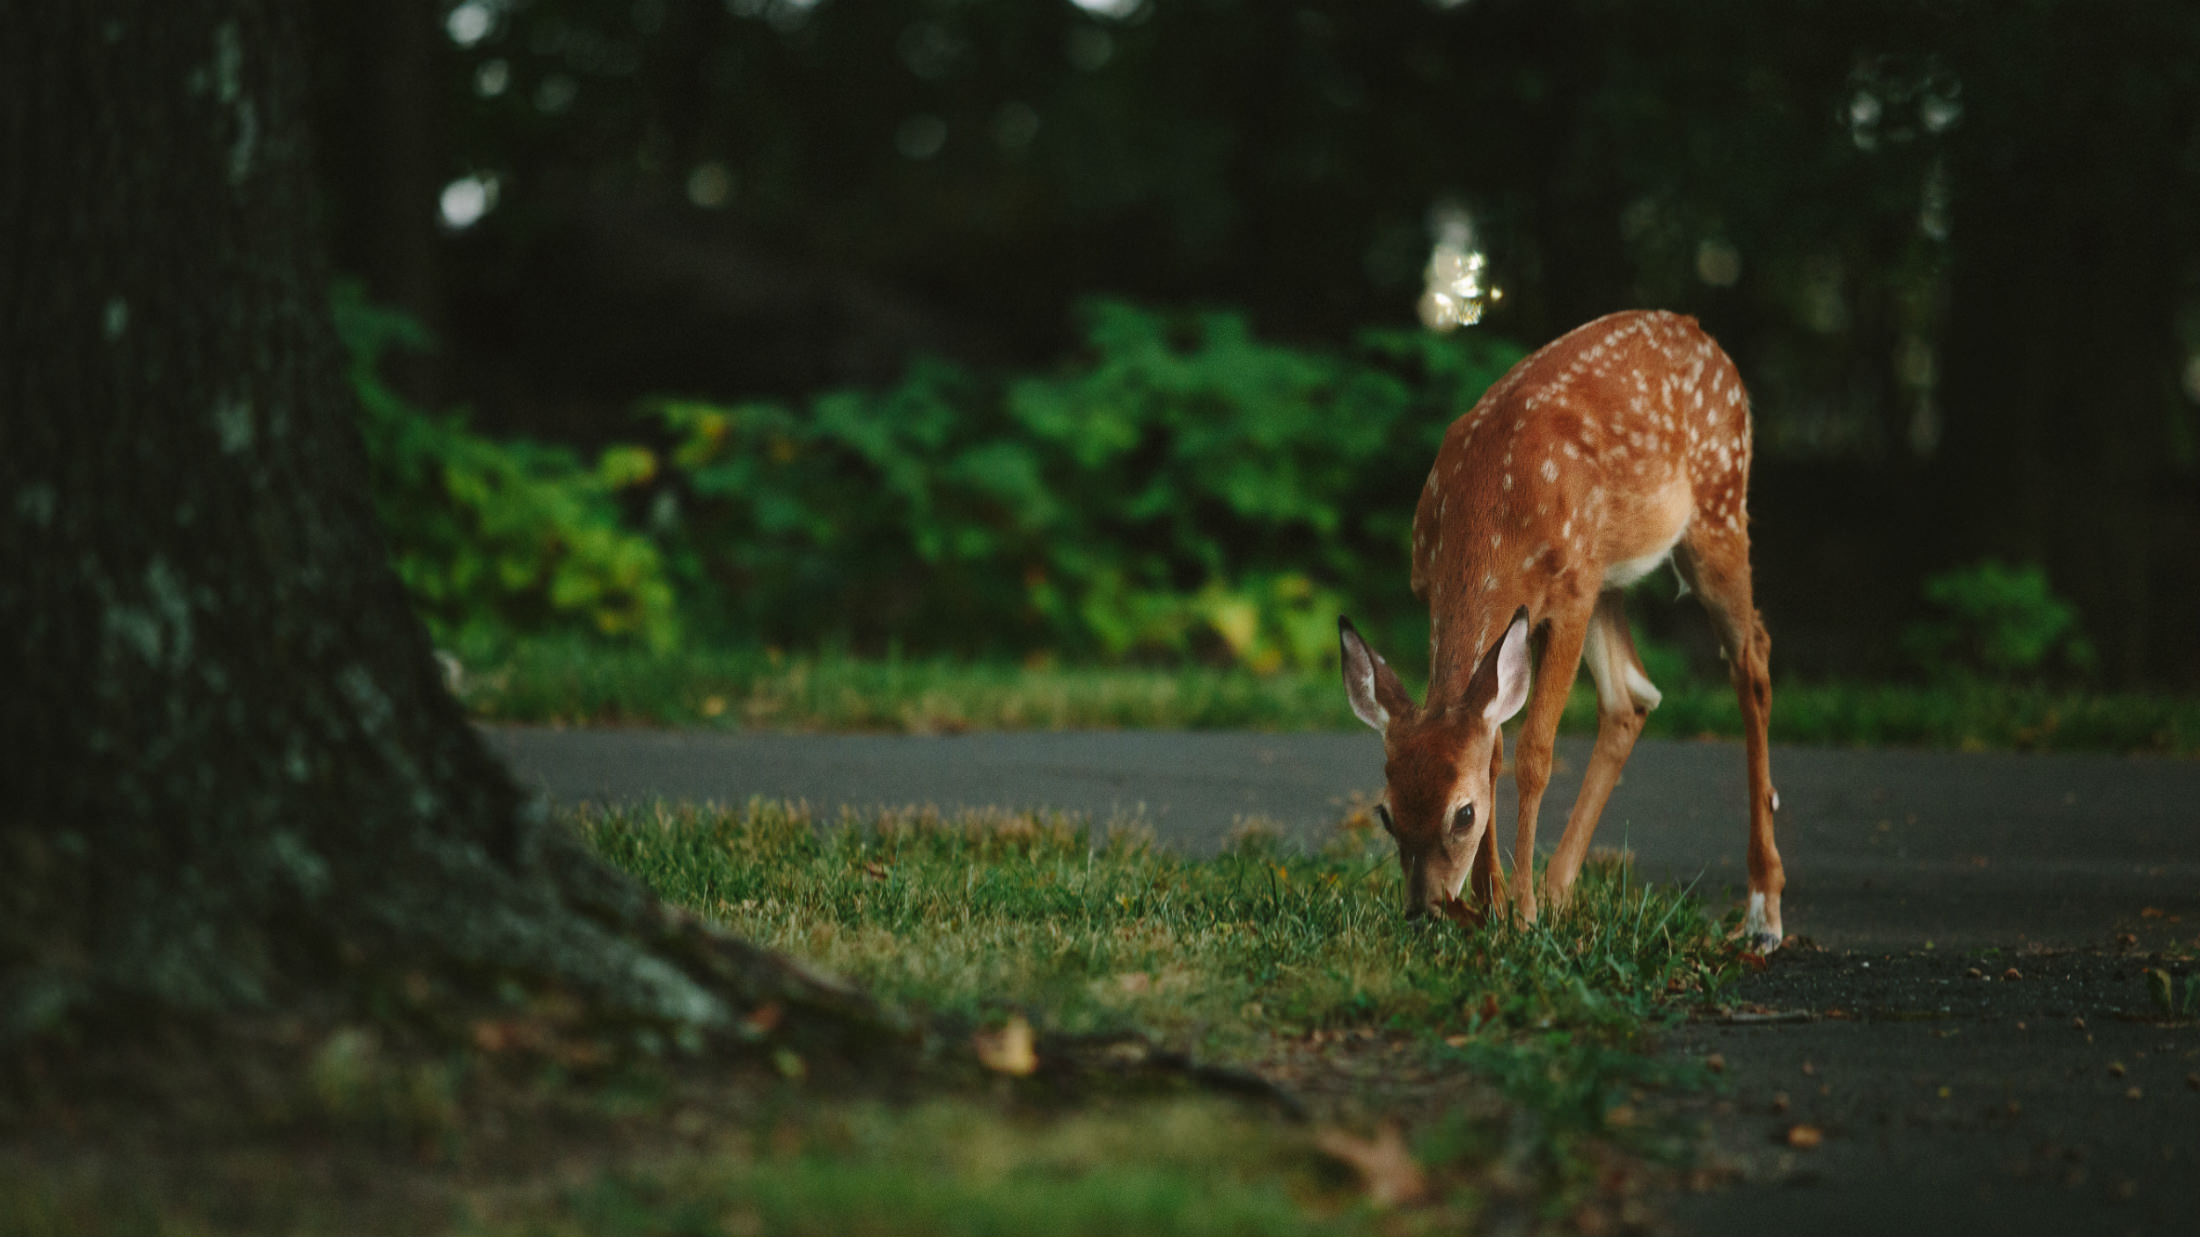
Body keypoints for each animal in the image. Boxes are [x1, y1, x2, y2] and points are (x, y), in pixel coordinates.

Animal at [1337, 305, 1786, 942]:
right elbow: (1493, 747)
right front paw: (1494, 903)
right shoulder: (1440, 590)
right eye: (1386, 812)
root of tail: (1703, 335)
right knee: (1632, 697)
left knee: (1752, 663)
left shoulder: (1569, 595)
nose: (1423, 911)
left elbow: (1534, 753)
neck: (1492, 510)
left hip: (1717, 510)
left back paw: (1763, 911)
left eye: (1462, 814)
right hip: (1610, 576)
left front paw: (1519, 913)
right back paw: (1559, 892)